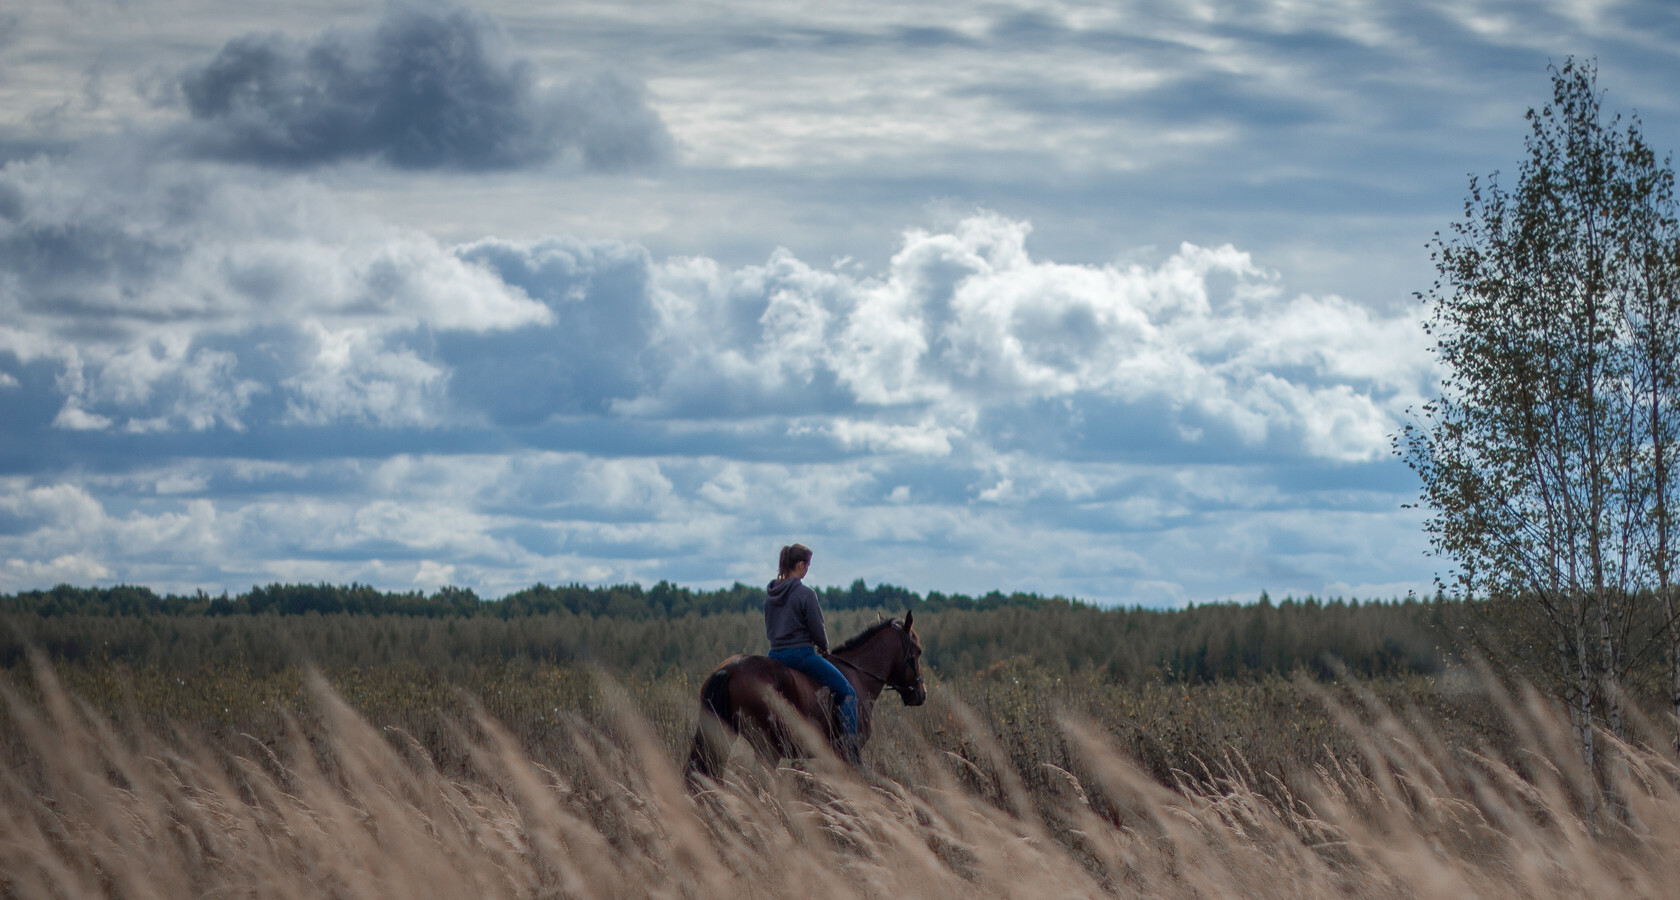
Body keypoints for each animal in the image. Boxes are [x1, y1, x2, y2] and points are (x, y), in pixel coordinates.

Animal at [682, 611, 927, 779]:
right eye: (917, 651)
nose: (921, 694)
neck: (858, 675)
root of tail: (729, 670)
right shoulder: (844, 756)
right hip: (766, 748)